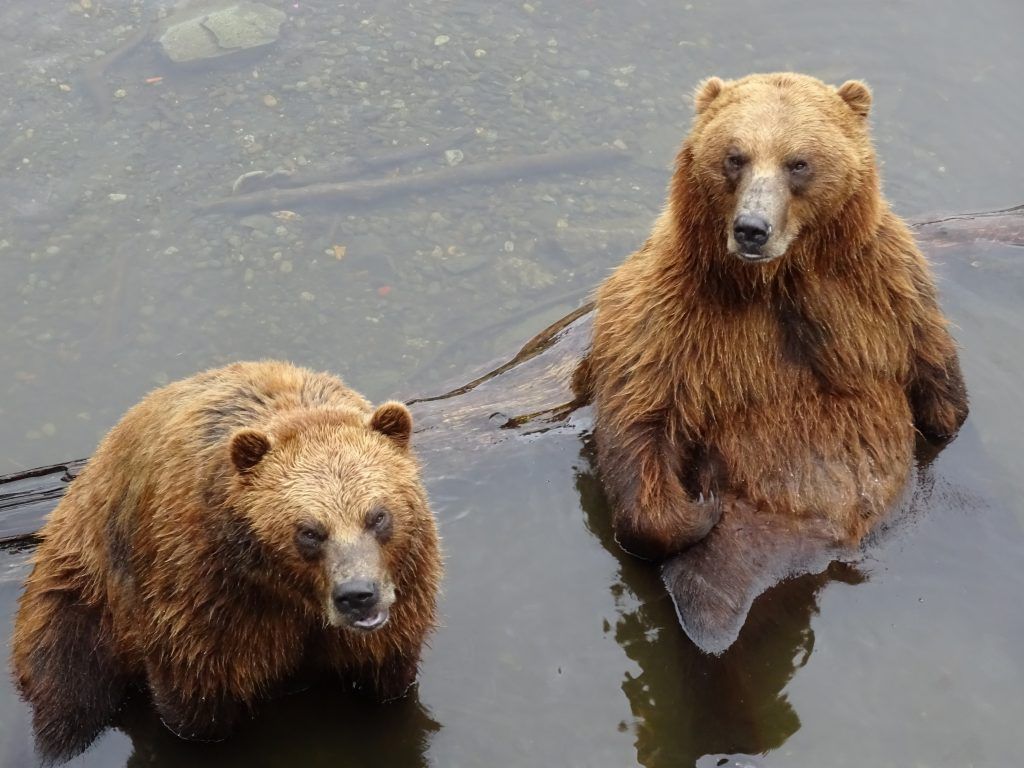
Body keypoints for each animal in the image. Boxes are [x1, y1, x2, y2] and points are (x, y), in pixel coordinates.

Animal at [11, 360, 442, 761]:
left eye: (378, 515)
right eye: (309, 531)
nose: (357, 595)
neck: (288, 591)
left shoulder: (400, 602)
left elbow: (385, 676)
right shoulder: (205, 598)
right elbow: (196, 701)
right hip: (81, 595)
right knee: (67, 690)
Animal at [576, 72, 968, 652]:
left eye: (798, 162)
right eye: (734, 156)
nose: (752, 228)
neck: (777, 282)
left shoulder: (888, 289)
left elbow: (941, 389)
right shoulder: (668, 316)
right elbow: (638, 417)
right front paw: (699, 507)